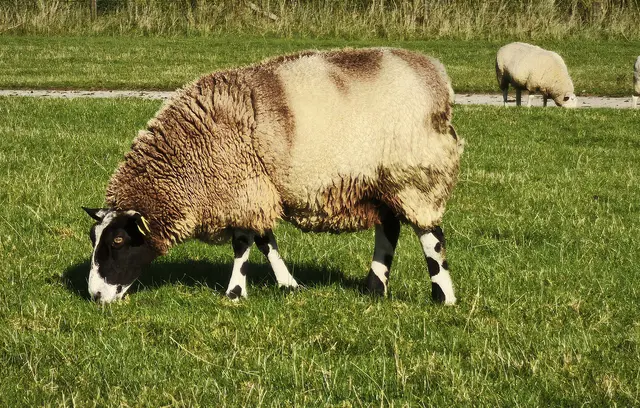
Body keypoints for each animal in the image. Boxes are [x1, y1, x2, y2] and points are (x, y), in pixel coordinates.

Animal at [82, 47, 464, 305]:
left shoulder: (242, 188)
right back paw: (374, 289)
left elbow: (243, 244)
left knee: (430, 236)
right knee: (389, 229)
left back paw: (442, 298)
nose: (94, 296)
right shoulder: (256, 189)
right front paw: (288, 285)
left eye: (118, 241)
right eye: (94, 238)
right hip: (383, 181)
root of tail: (439, 79)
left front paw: (235, 292)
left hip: (416, 173)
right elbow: (266, 241)